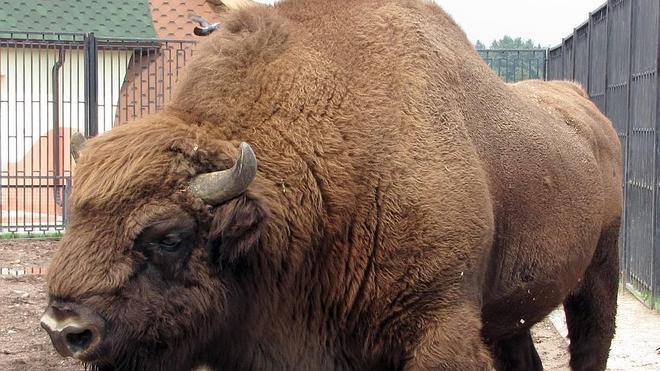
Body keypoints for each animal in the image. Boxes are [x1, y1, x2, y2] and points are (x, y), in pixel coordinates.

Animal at [38, 0, 620, 371]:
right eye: (74, 215)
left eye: (169, 237)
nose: (63, 328)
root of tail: (585, 105)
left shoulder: (442, 327)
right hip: (512, 309)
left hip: (599, 273)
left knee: (592, 342)